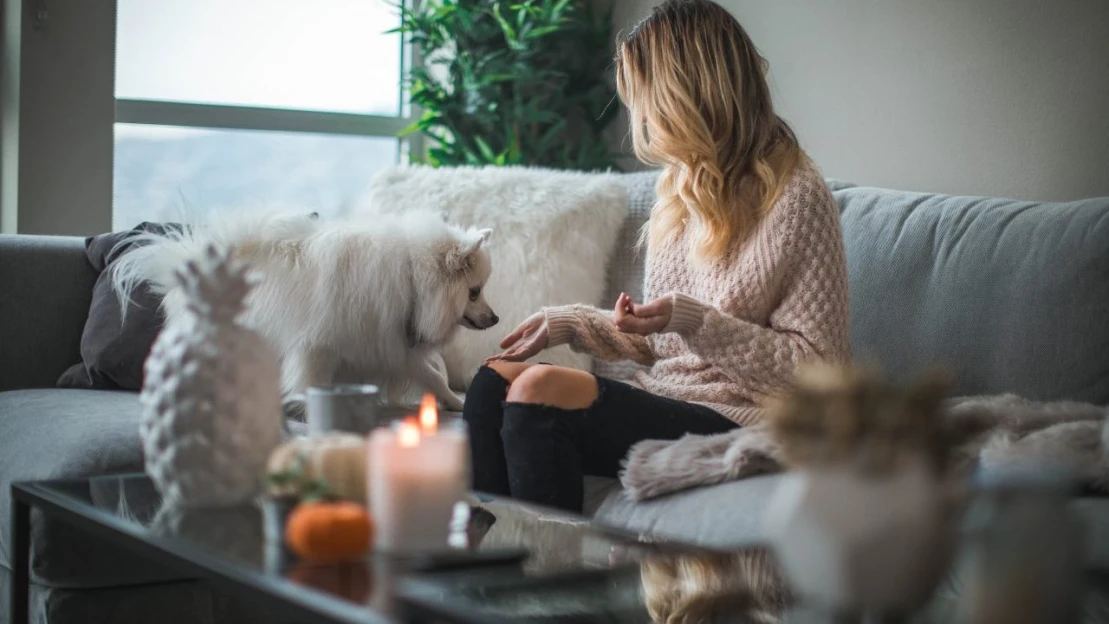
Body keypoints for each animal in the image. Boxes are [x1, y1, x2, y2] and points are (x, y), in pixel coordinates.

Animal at [111, 209, 494, 410]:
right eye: (474, 292)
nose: (496, 318)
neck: (411, 279)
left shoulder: (391, 345)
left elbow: (432, 376)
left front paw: (456, 402)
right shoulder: (318, 347)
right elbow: (311, 381)